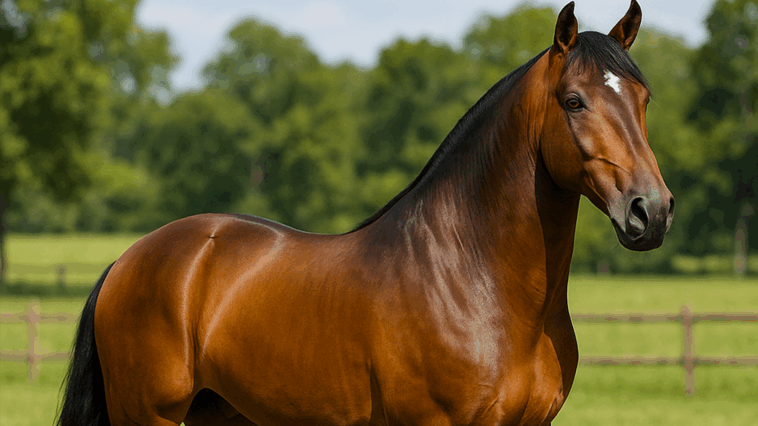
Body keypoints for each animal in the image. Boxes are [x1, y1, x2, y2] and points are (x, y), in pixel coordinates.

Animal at [57, 1, 673, 425]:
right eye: (573, 101)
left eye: (644, 99)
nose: (651, 211)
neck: (475, 282)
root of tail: (127, 261)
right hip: (149, 415)